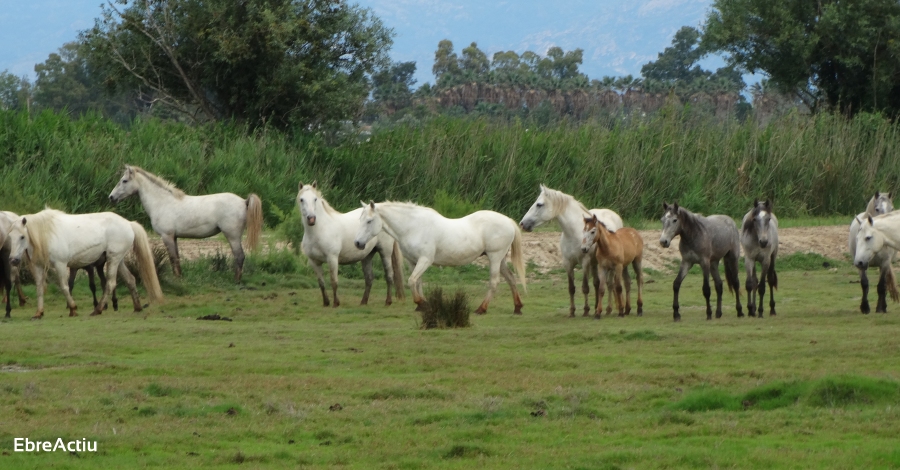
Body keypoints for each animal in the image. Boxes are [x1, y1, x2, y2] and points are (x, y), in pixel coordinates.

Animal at [6, 209, 163, 320]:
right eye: (10, 237)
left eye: (22, 237)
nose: (13, 260)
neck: (46, 234)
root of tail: (128, 223)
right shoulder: (38, 267)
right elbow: (39, 288)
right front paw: (38, 313)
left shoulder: (61, 265)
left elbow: (64, 287)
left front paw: (73, 309)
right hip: (119, 261)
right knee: (130, 279)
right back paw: (137, 307)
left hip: (113, 260)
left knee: (110, 283)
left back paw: (98, 309)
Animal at [108, 166, 262, 282]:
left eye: (124, 181)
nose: (111, 197)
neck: (162, 202)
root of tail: (243, 201)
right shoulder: (174, 237)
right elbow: (177, 258)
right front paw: (180, 277)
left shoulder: (167, 236)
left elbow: (172, 258)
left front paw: (176, 279)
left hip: (232, 236)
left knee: (239, 256)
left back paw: (236, 280)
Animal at [354, 200, 528, 314]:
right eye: (360, 219)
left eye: (369, 221)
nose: (357, 243)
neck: (414, 227)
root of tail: (508, 221)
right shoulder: (413, 262)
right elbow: (417, 282)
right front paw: (421, 306)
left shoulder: (425, 260)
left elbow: (411, 281)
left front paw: (421, 302)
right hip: (501, 260)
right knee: (511, 279)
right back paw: (517, 307)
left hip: (495, 257)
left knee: (493, 282)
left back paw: (481, 308)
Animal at [516, 185, 624, 318]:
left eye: (539, 204)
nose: (522, 224)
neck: (574, 233)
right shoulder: (568, 263)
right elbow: (571, 288)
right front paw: (572, 311)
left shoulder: (585, 262)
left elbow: (585, 287)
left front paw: (586, 310)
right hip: (595, 263)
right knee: (597, 283)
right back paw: (596, 307)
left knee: (609, 284)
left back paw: (608, 309)